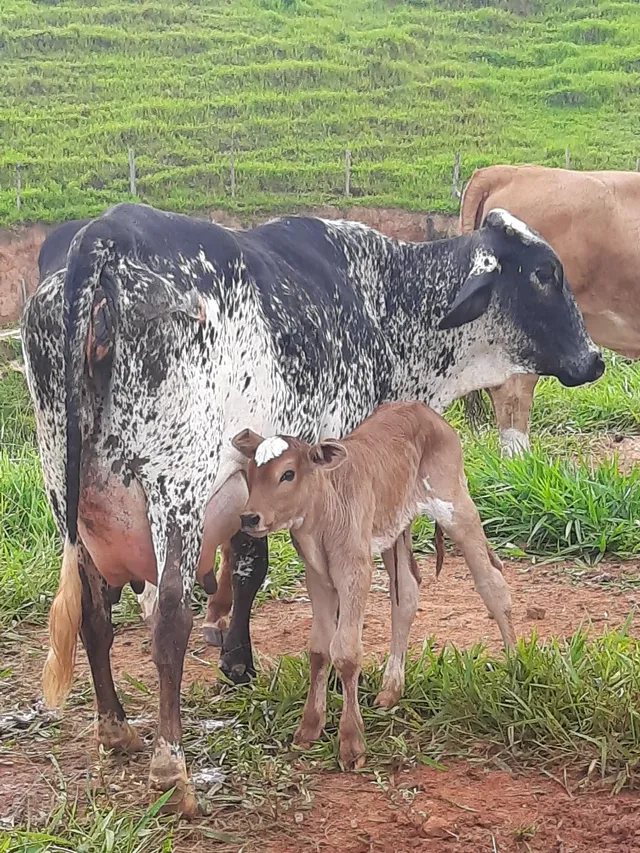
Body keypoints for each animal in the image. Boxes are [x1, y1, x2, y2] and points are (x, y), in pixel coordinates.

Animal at [231, 400, 515, 769]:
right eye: (251, 473)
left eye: (288, 474)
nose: (249, 517)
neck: (323, 513)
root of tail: (423, 410)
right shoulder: (317, 577)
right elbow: (319, 649)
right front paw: (309, 728)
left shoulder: (355, 570)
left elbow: (347, 652)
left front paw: (352, 743)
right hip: (397, 528)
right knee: (406, 594)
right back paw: (391, 689)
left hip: (456, 505)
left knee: (491, 582)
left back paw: (515, 668)